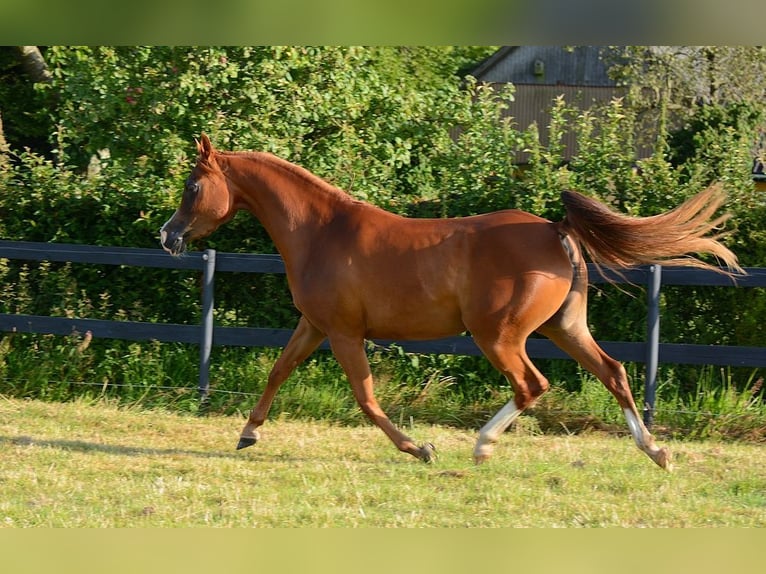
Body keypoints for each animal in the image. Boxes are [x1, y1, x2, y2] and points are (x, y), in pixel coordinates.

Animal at [160, 135, 744, 472]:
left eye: (193, 187)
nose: (168, 237)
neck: (321, 231)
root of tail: (555, 229)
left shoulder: (345, 333)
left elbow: (366, 399)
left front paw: (420, 448)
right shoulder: (316, 325)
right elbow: (278, 371)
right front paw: (248, 433)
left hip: (499, 335)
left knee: (533, 384)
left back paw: (482, 445)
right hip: (564, 328)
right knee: (614, 373)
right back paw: (657, 451)